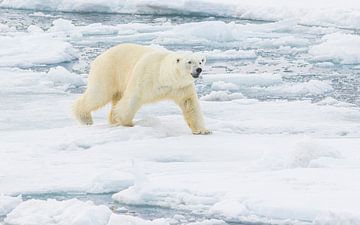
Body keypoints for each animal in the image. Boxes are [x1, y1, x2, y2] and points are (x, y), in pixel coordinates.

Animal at [73, 44, 211, 135]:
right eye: (189, 62)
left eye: (200, 62)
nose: (199, 70)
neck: (163, 76)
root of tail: (101, 55)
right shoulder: (146, 76)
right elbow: (132, 99)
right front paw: (127, 122)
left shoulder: (181, 87)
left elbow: (190, 104)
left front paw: (203, 130)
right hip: (108, 71)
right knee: (98, 94)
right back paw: (85, 119)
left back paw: (112, 120)